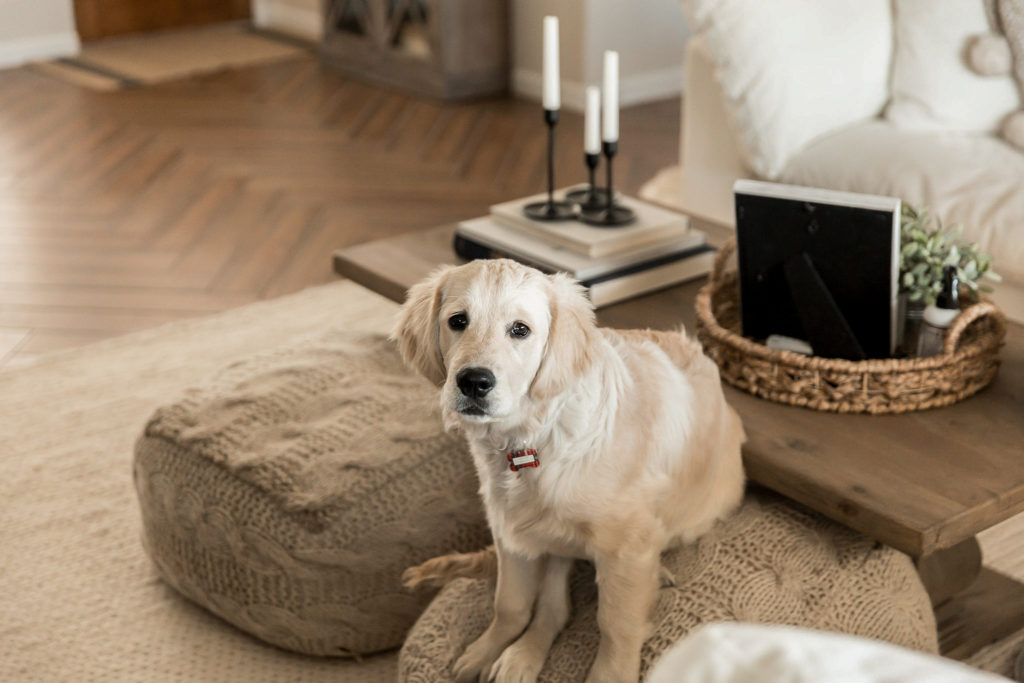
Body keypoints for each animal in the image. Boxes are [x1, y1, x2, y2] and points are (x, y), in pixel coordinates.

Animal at [391, 259, 745, 679]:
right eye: (457, 321)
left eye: (520, 329)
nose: (473, 382)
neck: (531, 439)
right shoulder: (509, 529)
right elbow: (510, 603)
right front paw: (485, 651)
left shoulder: (626, 545)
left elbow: (617, 623)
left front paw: (612, 674)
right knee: (554, 605)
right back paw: (519, 657)